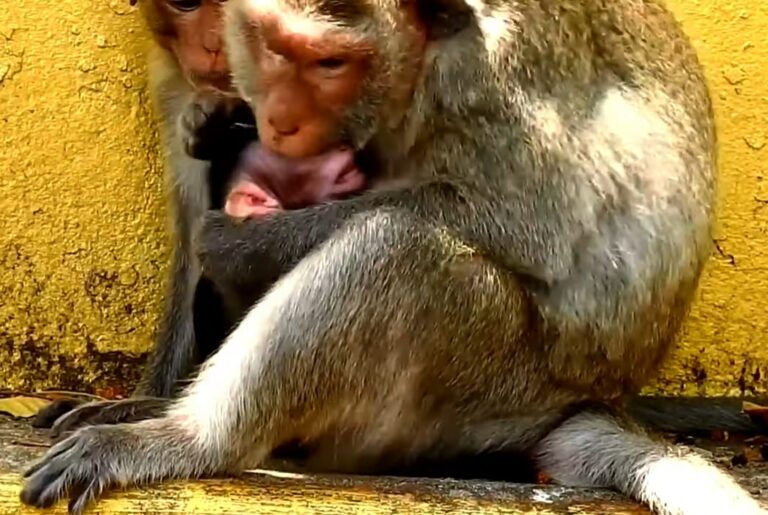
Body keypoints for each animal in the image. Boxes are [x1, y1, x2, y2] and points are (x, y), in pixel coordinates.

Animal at [20, 1, 768, 514]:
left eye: (329, 62)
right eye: (269, 45)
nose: (279, 117)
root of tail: (594, 399)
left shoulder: (498, 76)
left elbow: (533, 225)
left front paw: (238, 239)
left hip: (489, 387)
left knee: (402, 249)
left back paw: (189, 439)